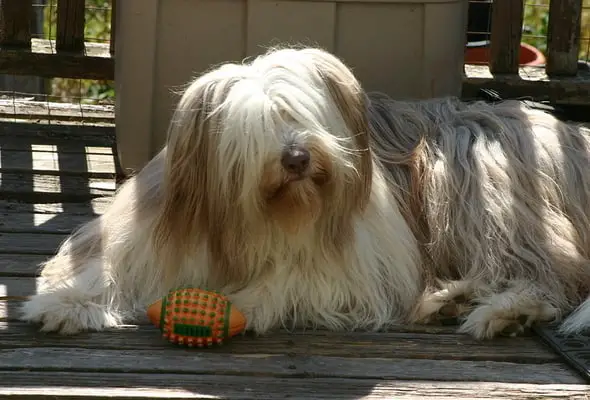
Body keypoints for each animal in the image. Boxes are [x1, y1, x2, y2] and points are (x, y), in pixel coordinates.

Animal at [20, 48, 590, 340]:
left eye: (303, 114)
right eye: (256, 127)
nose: (297, 158)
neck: (262, 219)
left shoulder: (362, 265)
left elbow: (296, 279)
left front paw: (246, 302)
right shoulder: (153, 229)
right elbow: (110, 265)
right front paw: (64, 303)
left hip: (479, 182)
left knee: (551, 272)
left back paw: (507, 311)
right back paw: (452, 301)